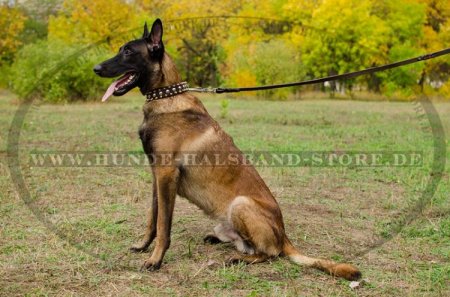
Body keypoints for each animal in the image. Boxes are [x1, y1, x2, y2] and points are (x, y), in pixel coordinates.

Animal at [94, 19, 362, 280]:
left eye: (128, 51)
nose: (96, 69)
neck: (165, 98)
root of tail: (284, 236)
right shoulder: (157, 177)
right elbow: (152, 218)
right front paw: (143, 246)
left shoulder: (166, 175)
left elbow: (163, 226)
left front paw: (155, 260)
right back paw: (220, 241)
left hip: (241, 204)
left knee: (270, 253)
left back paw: (240, 259)